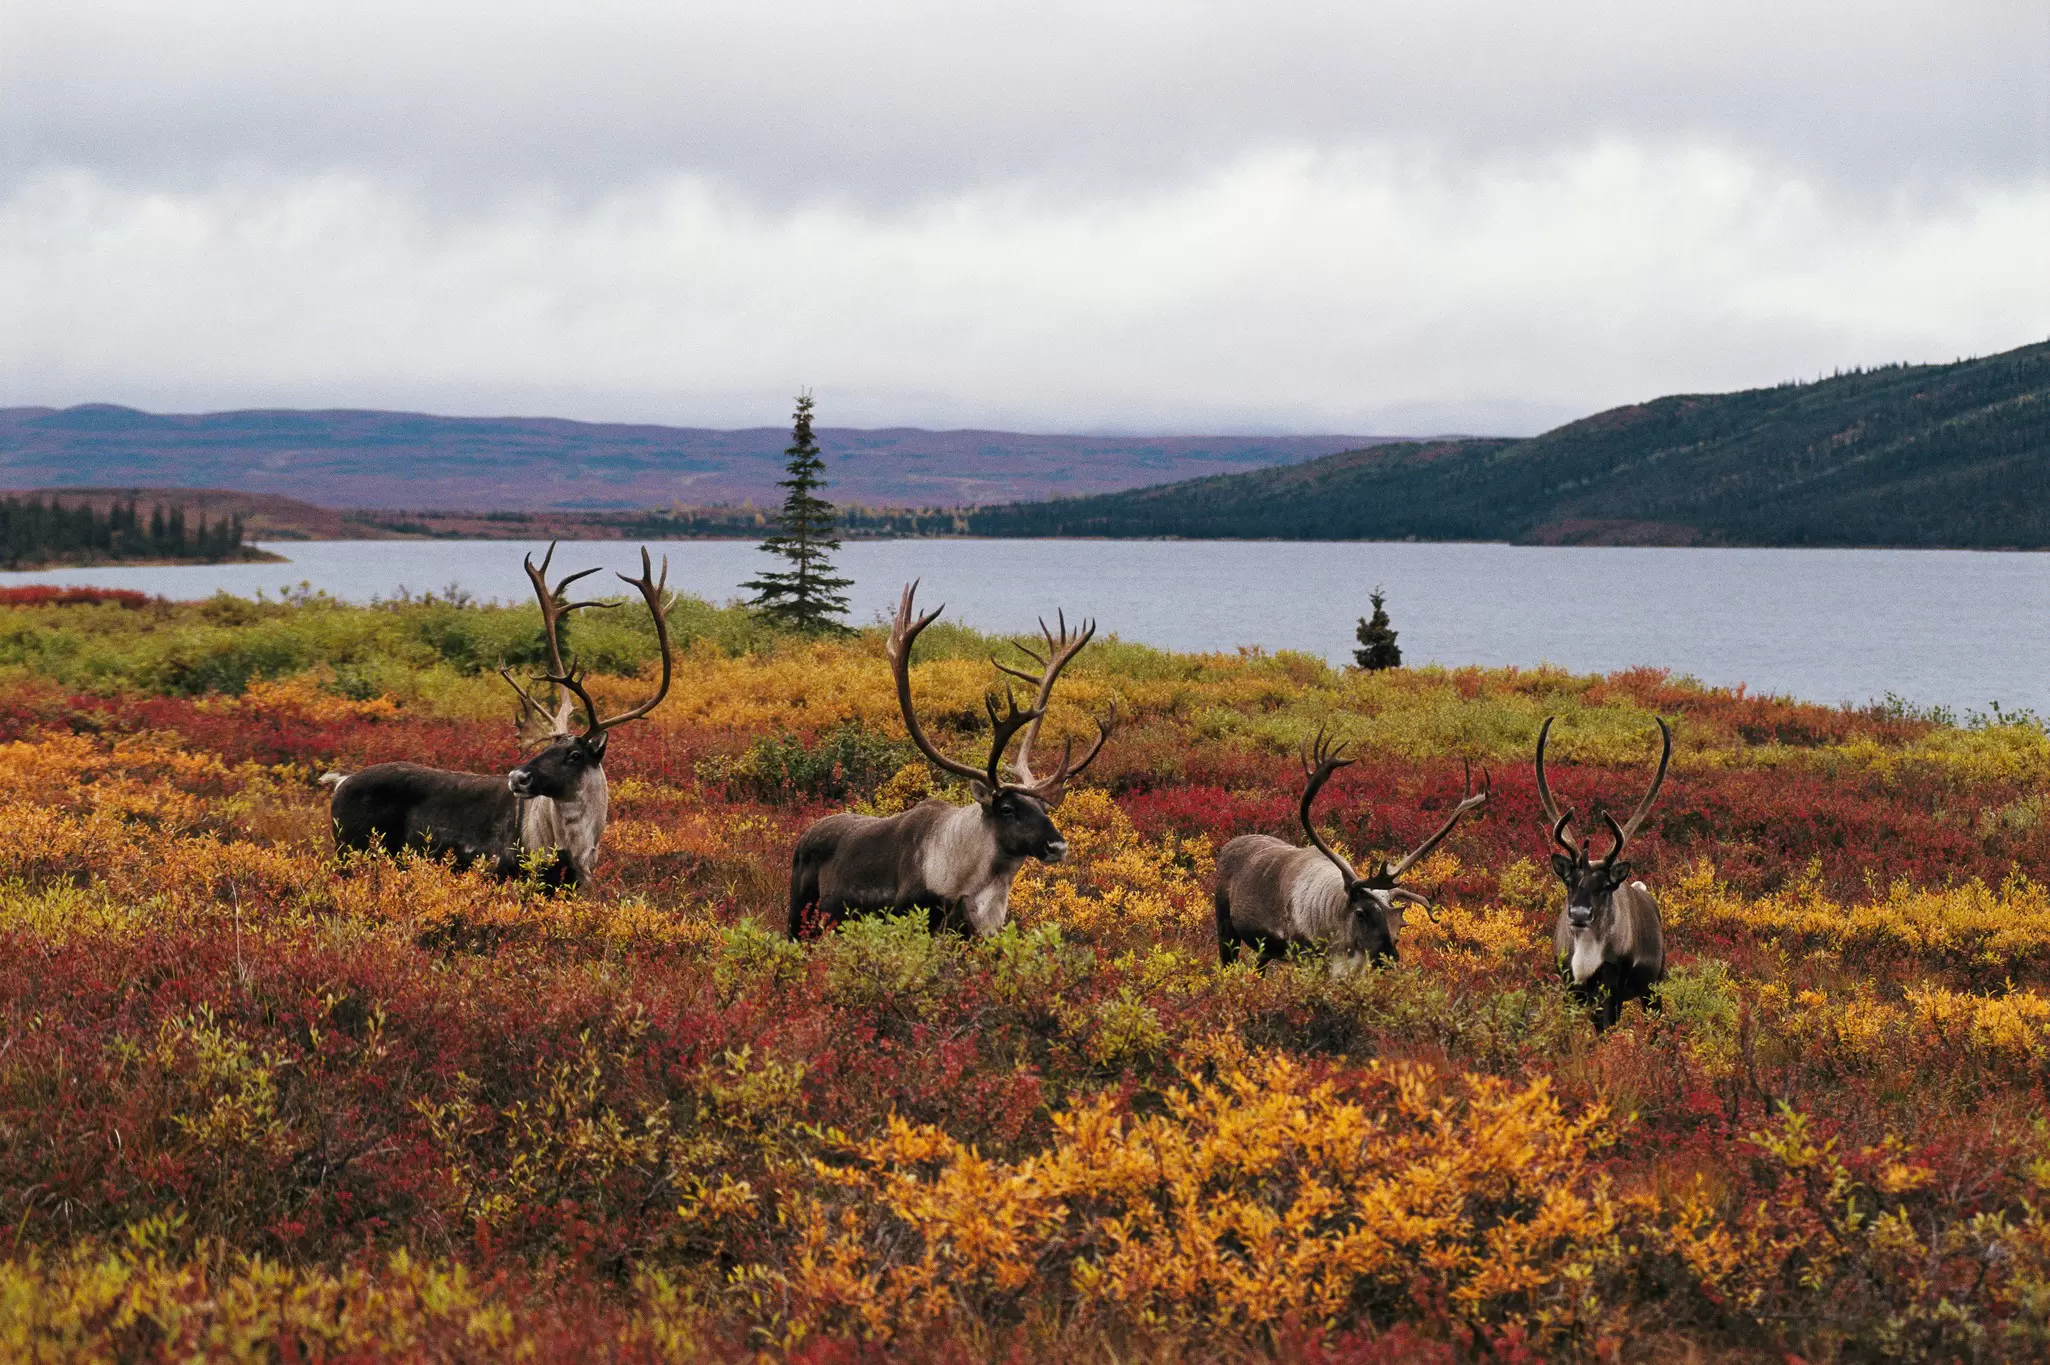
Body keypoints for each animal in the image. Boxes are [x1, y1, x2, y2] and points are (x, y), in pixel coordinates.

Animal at [323, 543, 673, 888]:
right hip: (350, 853)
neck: (577, 850)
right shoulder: (503, 873)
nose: (518, 777)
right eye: (547, 747)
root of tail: (341, 781)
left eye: (574, 754)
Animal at [786, 581, 1115, 939]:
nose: (1058, 847)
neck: (976, 885)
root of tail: (805, 834)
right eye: (1007, 809)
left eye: (1044, 807)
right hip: (798, 916)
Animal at [1214, 730, 1489, 973]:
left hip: (1266, 949)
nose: (1389, 960)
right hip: (1226, 927)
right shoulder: (1303, 952)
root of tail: (1229, 844)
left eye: (1400, 922)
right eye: (1361, 913)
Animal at [1534, 714, 1673, 1029]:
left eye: (1605, 886)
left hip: (1654, 983)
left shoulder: (1612, 988)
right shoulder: (1569, 985)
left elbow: (1605, 1028)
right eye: (1568, 881)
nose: (1580, 914)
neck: (1586, 954)